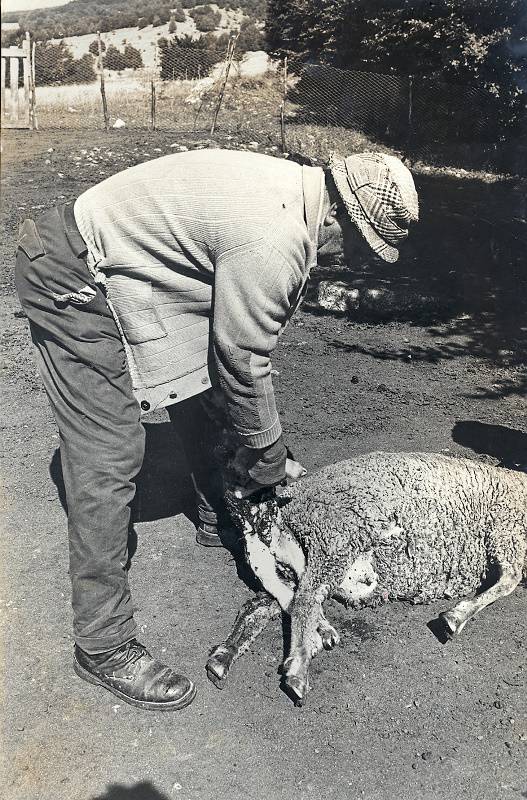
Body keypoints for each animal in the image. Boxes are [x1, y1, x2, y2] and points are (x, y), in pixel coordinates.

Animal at [207, 454, 527, 704]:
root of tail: (272, 513)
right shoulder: (506, 529)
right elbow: (509, 580)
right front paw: (454, 617)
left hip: (299, 558)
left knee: (265, 604)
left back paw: (224, 657)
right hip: (335, 533)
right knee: (305, 598)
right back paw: (298, 668)